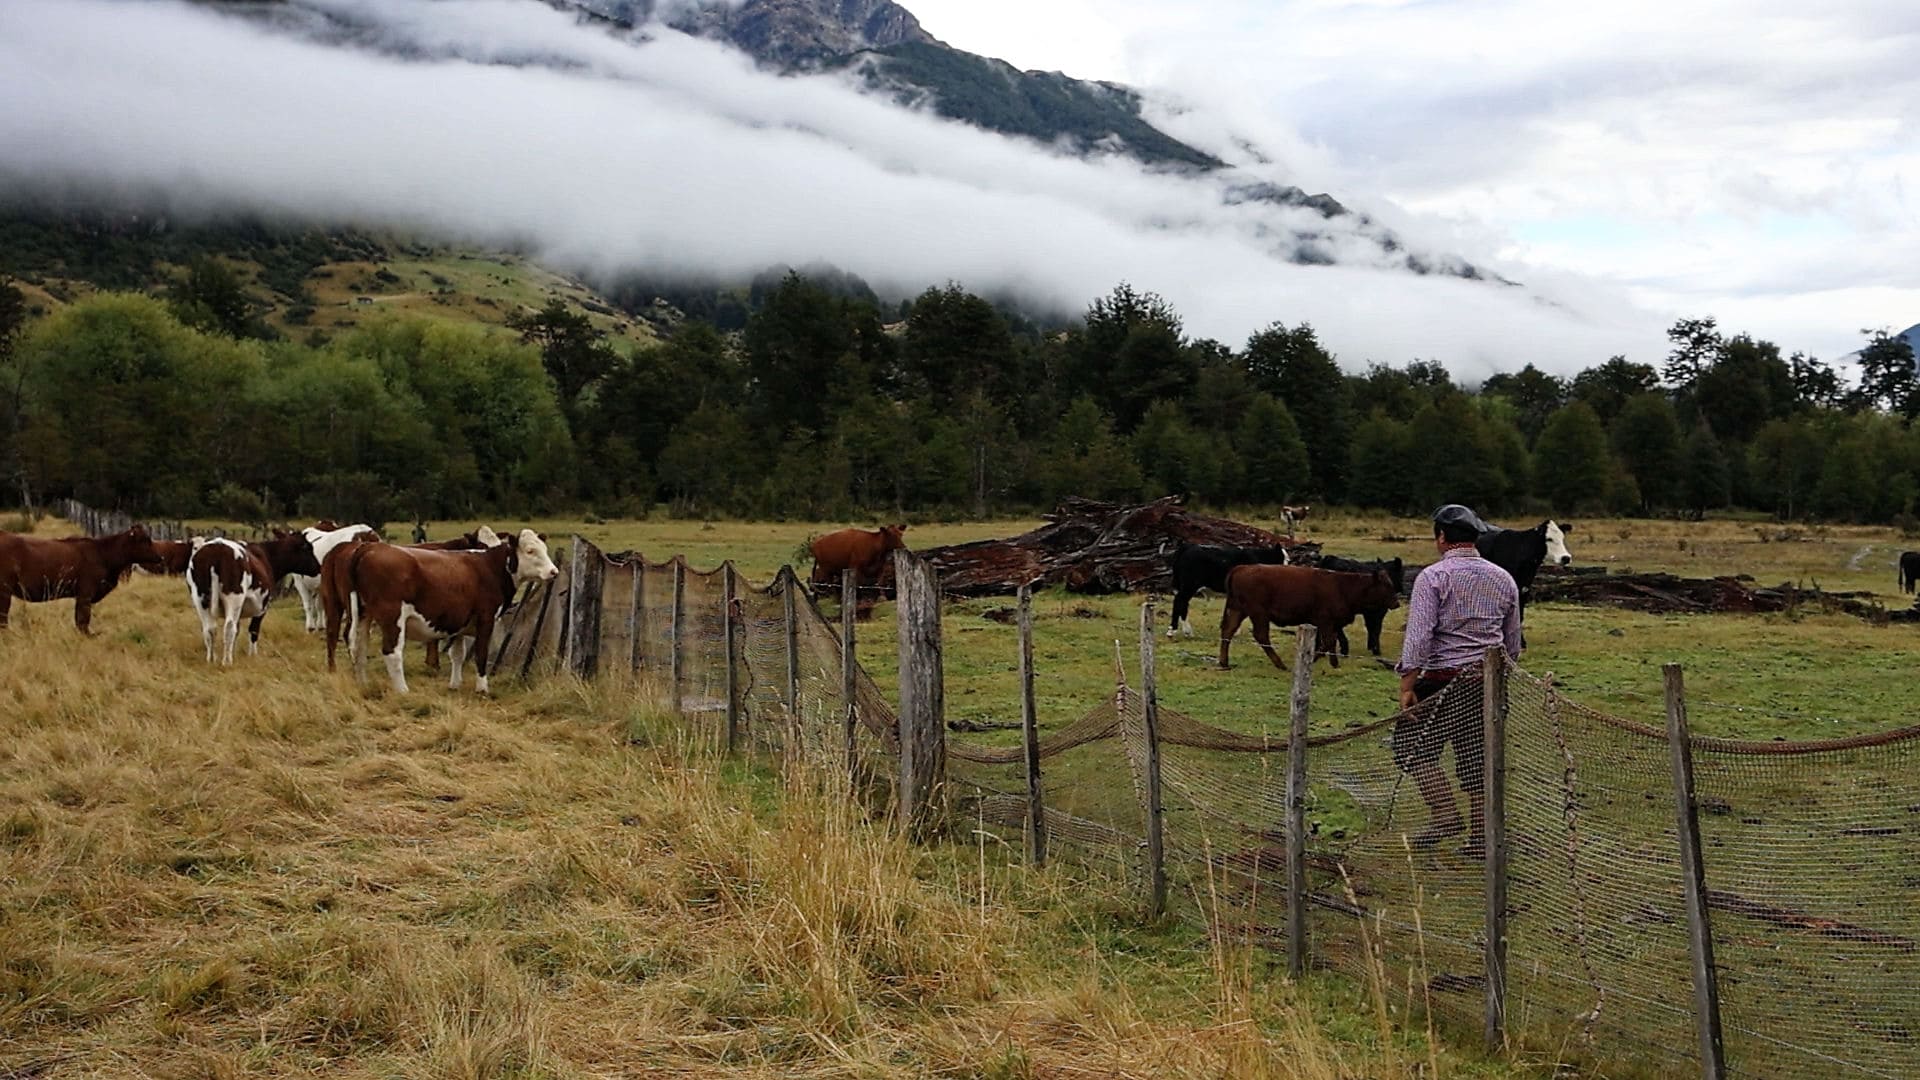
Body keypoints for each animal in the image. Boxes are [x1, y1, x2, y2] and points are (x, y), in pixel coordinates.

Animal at [0, 522, 157, 630]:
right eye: (145, 540)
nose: (159, 556)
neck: (102, 552)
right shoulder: (85, 596)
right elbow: (82, 621)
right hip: (5, 593)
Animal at [185, 526, 320, 661]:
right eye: (308, 548)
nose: (319, 567)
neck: (267, 556)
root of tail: (217, 547)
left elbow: (238, 629)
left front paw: (234, 652)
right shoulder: (263, 606)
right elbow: (253, 630)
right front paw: (253, 655)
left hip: (199, 598)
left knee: (209, 629)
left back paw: (211, 659)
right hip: (234, 596)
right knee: (229, 628)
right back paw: (227, 661)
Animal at [324, 526, 560, 691]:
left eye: (544, 549)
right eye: (530, 550)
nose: (554, 572)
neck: (489, 567)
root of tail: (367, 547)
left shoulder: (459, 623)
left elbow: (457, 654)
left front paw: (454, 684)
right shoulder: (485, 619)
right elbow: (481, 654)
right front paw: (482, 688)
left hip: (363, 615)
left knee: (359, 648)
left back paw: (363, 684)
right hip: (392, 618)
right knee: (392, 652)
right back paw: (402, 690)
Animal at [1221, 557, 1405, 668]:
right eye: (1387, 585)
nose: (1396, 603)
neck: (1344, 586)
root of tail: (1241, 568)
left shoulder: (1329, 624)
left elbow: (1328, 643)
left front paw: (1330, 662)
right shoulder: (1326, 621)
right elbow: (1327, 642)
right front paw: (1323, 661)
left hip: (1238, 610)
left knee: (1228, 632)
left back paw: (1224, 662)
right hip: (1258, 614)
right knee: (1261, 636)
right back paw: (1280, 664)